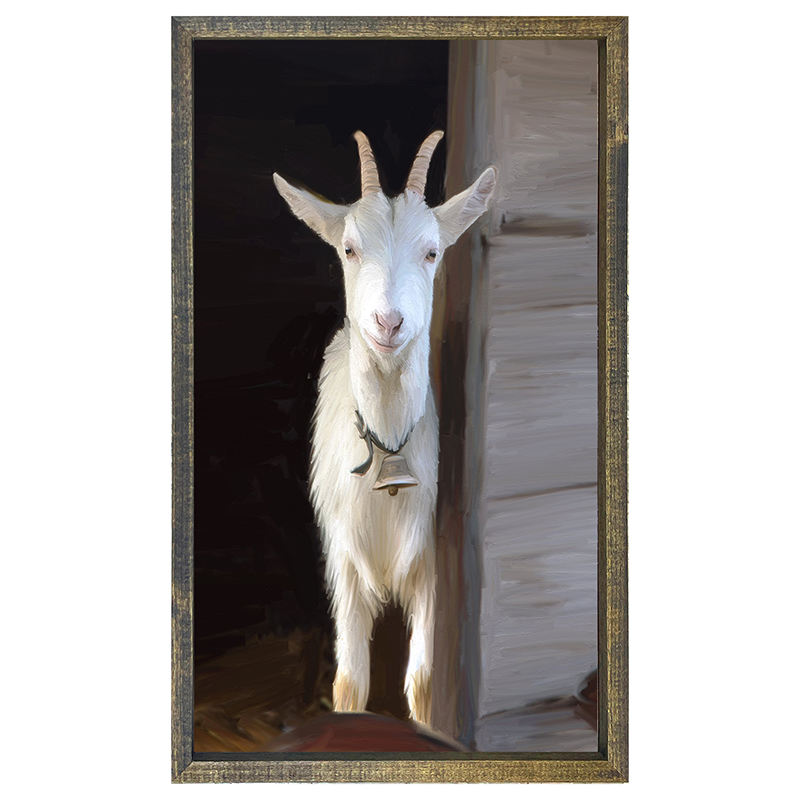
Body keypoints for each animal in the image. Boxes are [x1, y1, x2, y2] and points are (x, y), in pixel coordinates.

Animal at [274, 131, 495, 725]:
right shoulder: (344, 561)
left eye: (432, 251)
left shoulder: (432, 565)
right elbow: (350, 682)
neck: (386, 447)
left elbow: (423, 683)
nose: (388, 323)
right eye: (349, 249)